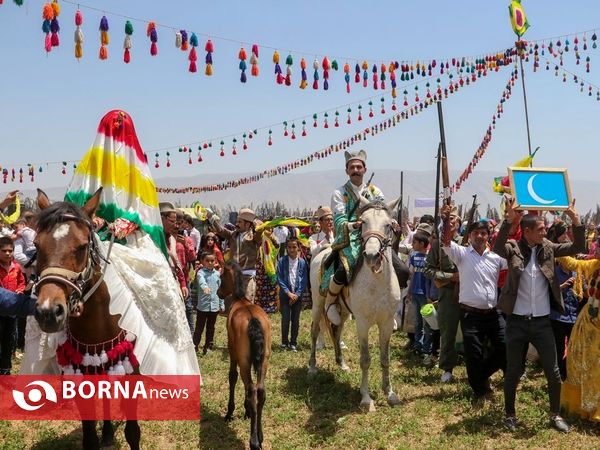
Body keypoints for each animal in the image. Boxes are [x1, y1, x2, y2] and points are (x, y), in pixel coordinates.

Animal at [33, 188, 141, 448]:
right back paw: (108, 433)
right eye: (36, 245)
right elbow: (89, 437)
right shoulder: (80, 374)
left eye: (82, 246)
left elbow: (133, 432)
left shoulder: (132, 371)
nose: (48, 312)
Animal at [218, 260, 272, 450]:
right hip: (264, 361)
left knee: (251, 389)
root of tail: (253, 320)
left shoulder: (233, 352)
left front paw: (230, 412)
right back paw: (260, 436)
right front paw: (247, 411)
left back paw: (253, 441)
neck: (241, 301)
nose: (218, 293)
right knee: (260, 391)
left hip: (244, 361)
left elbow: (232, 377)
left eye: (220, 277)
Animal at [308, 197, 400, 412]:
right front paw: (366, 398)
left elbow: (385, 358)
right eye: (363, 222)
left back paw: (341, 364)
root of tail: (321, 250)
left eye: (388, 225)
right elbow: (365, 360)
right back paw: (312, 367)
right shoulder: (363, 324)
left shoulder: (386, 324)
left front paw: (389, 393)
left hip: (342, 312)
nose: (372, 256)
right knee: (315, 331)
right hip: (317, 304)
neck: (377, 282)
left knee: (336, 332)